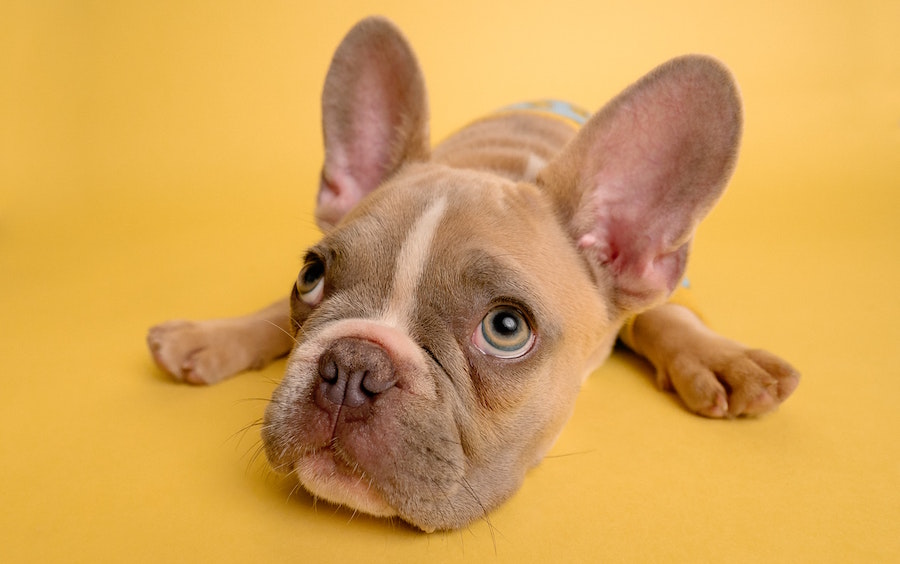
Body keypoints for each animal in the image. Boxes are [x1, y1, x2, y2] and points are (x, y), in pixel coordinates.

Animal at [148, 15, 800, 532]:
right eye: (310, 276)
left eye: (506, 329)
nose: (352, 365)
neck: (499, 165)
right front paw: (211, 336)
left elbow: (663, 316)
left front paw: (719, 358)